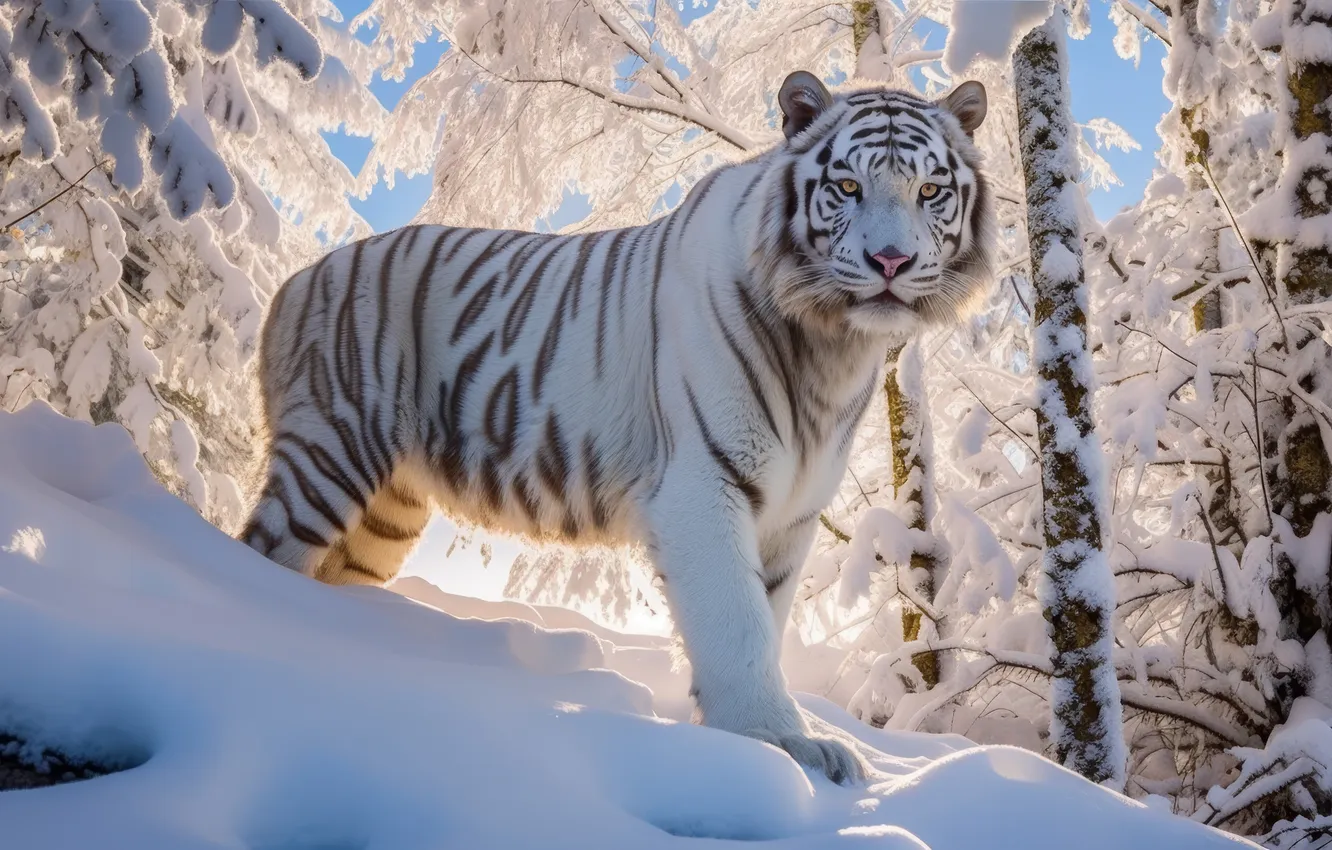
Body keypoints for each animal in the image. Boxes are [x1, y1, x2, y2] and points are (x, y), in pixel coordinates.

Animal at [240, 70, 994, 786]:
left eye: (930, 190)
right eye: (846, 186)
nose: (891, 263)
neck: (832, 349)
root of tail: (296, 277)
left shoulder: (792, 515)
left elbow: (769, 615)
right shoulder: (702, 485)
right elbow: (738, 624)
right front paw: (784, 747)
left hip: (386, 515)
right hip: (330, 454)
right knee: (263, 550)